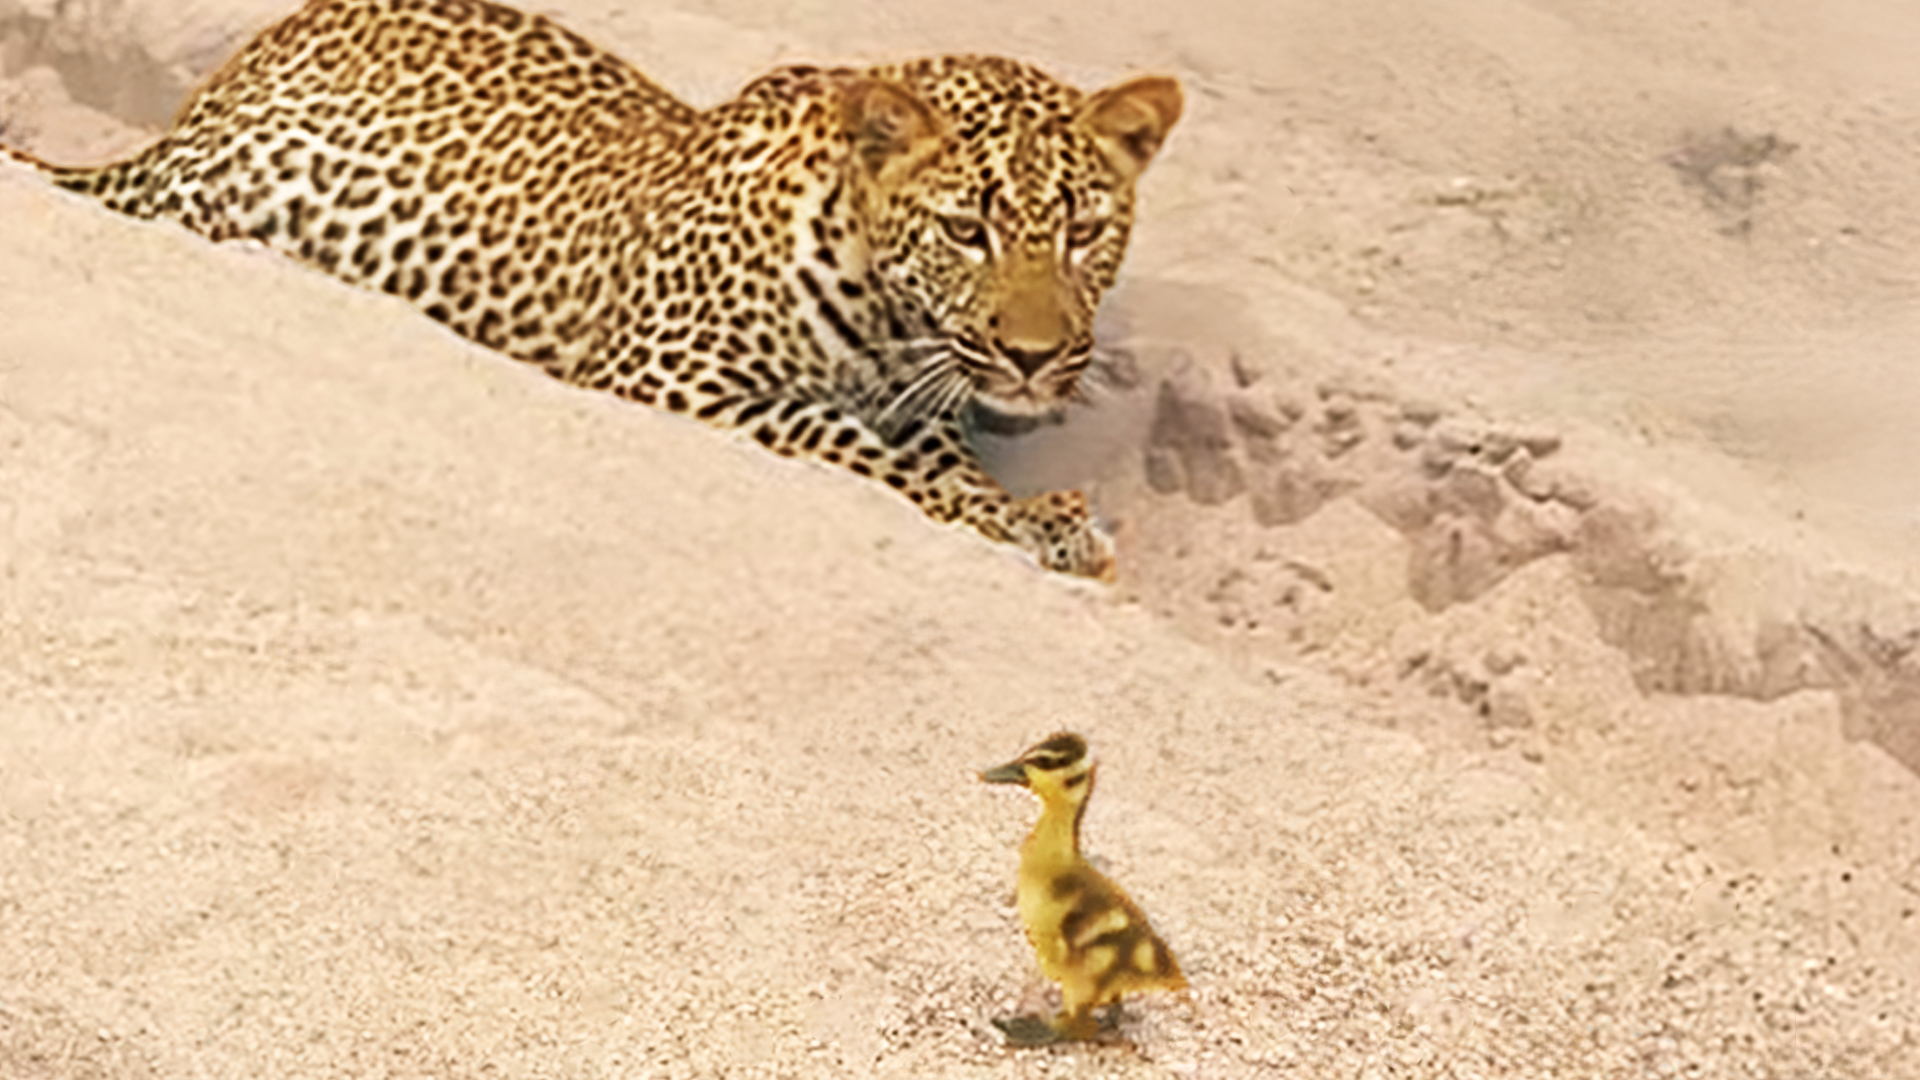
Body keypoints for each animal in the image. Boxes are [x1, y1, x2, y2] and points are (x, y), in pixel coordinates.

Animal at [0, 0, 1175, 580]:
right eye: (968, 230)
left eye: (1083, 230)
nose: (1034, 358)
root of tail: (203, 98)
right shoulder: (672, 376)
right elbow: (850, 446)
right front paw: (1021, 522)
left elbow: (932, 452)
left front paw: (1036, 512)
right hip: (234, 191)